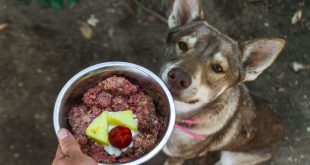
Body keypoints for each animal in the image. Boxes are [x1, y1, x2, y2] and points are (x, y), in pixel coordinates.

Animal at [160, 0, 286, 165]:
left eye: (218, 68)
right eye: (182, 45)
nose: (178, 77)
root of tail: (282, 131)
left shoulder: (176, 157)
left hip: (231, 158)